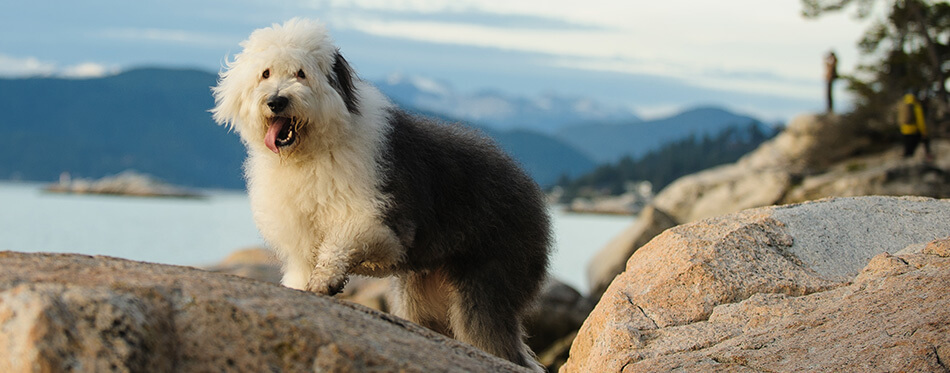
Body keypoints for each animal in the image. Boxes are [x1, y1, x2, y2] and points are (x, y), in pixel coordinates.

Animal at [208, 18, 552, 368]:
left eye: (300, 73)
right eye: (265, 74)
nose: (276, 101)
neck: (312, 151)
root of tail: (530, 186)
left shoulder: (380, 218)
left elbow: (343, 241)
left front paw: (325, 280)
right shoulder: (301, 240)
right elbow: (300, 268)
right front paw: (305, 287)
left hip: (489, 280)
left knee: (500, 344)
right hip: (424, 293)